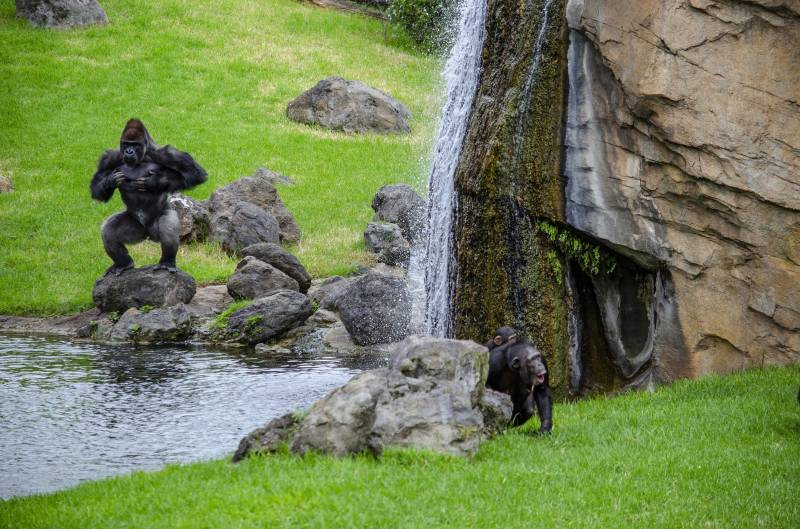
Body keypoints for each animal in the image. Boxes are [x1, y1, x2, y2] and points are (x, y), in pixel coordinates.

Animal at [89, 117, 208, 274]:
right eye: (126, 144)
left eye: (135, 145)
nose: (128, 151)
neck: (143, 156)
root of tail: (148, 235)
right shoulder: (109, 158)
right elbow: (97, 184)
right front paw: (110, 181)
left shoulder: (166, 154)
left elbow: (195, 173)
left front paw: (154, 182)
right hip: (136, 229)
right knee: (108, 231)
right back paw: (123, 263)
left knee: (167, 228)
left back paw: (167, 262)